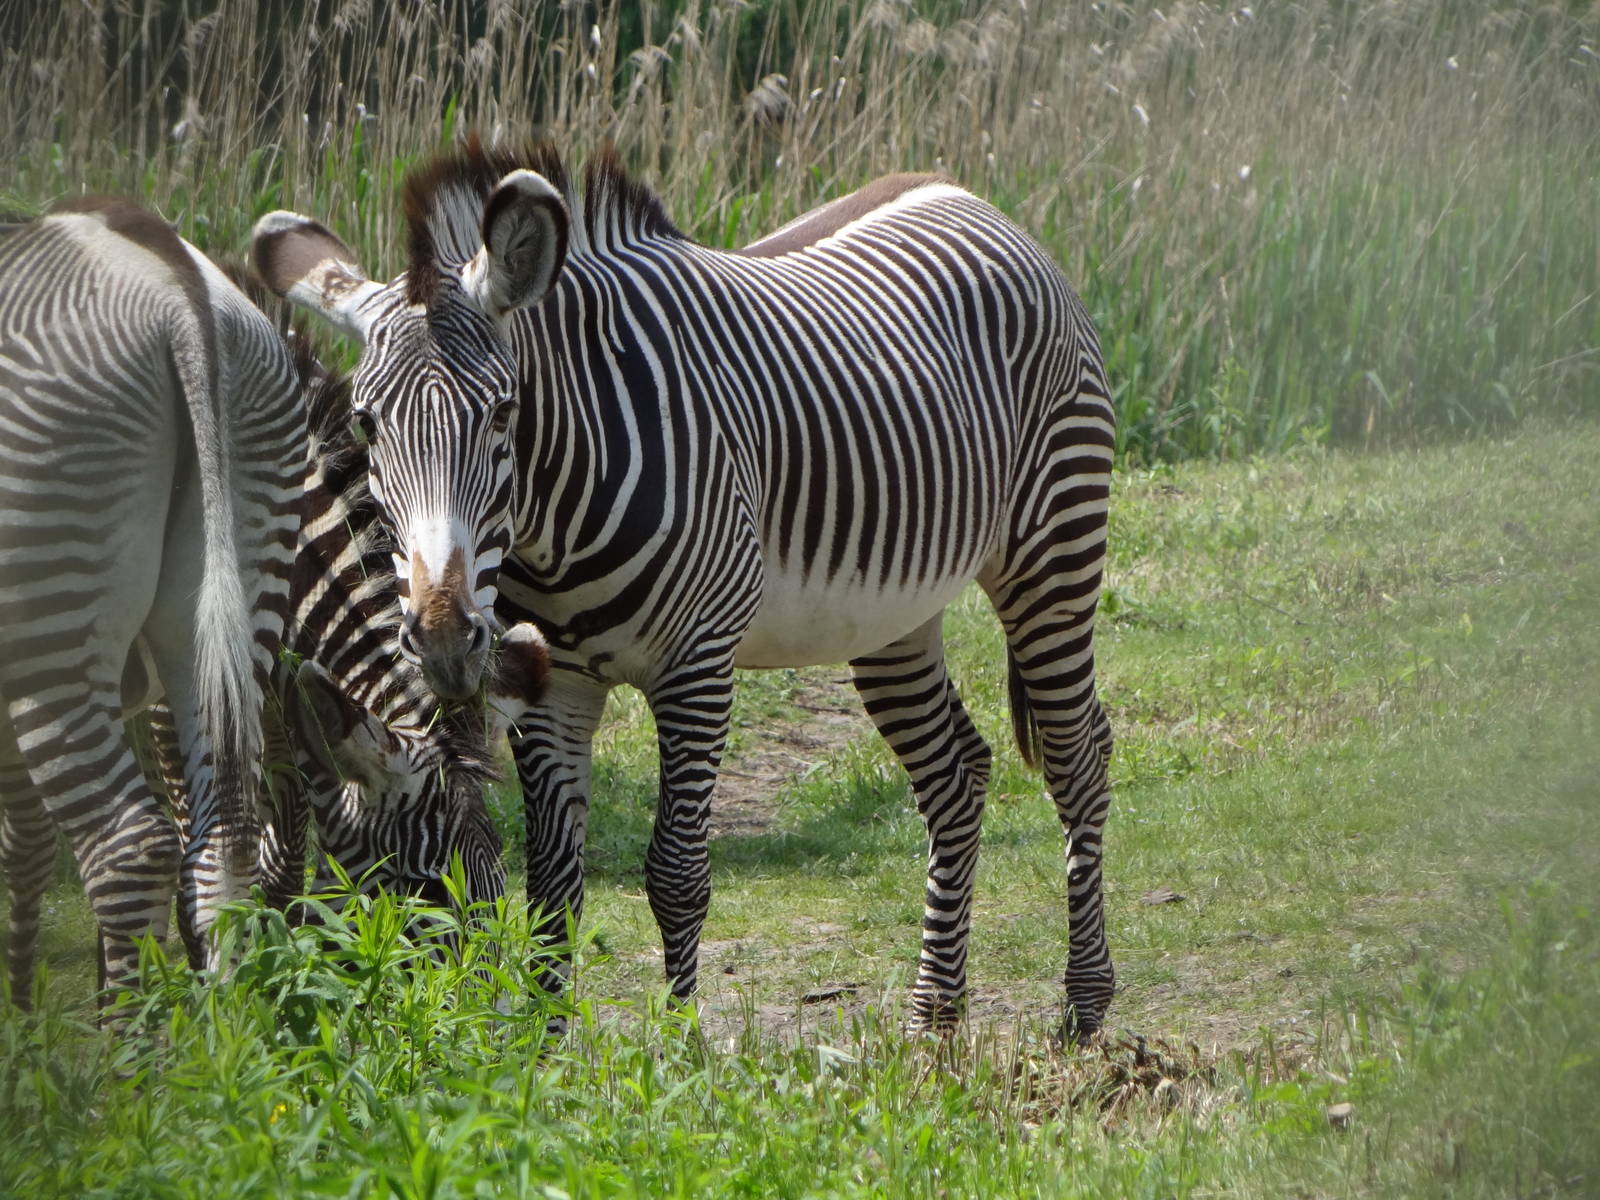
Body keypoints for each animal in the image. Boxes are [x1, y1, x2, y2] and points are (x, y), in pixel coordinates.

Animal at [255, 138, 1118, 1036]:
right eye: (365, 423)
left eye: (502, 413)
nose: (445, 639)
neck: (554, 528)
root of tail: (964, 195)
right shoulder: (555, 685)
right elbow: (554, 884)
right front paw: (543, 1054)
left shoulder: (697, 669)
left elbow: (675, 875)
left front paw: (675, 1051)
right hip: (890, 614)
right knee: (955, 773)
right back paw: (932, 1017)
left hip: (1054, 545)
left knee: (1077, 755)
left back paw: (1084, 1005)